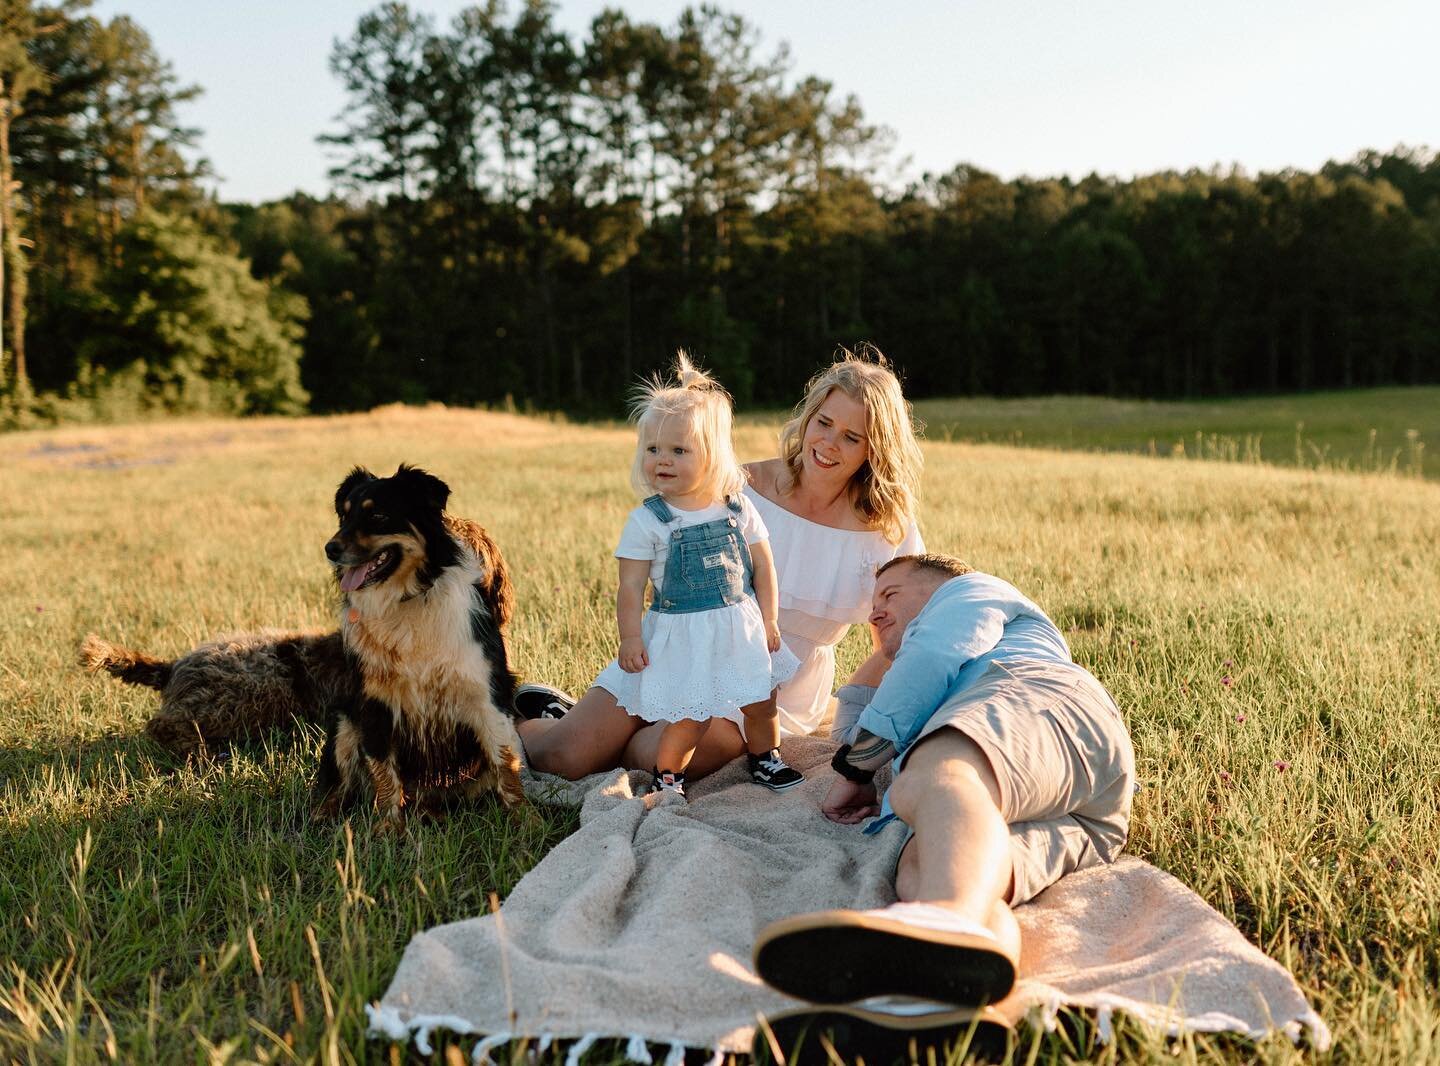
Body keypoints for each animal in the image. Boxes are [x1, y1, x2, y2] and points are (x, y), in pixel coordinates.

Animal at [81, 463, 527, 823]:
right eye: (346, 516)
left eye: (378, 515)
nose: (330, 548)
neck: (410, 602)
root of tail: (174, 665)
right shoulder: (373, 708)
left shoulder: (486, 699)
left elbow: (503, 762)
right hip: (249, 701)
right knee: (165, 727)